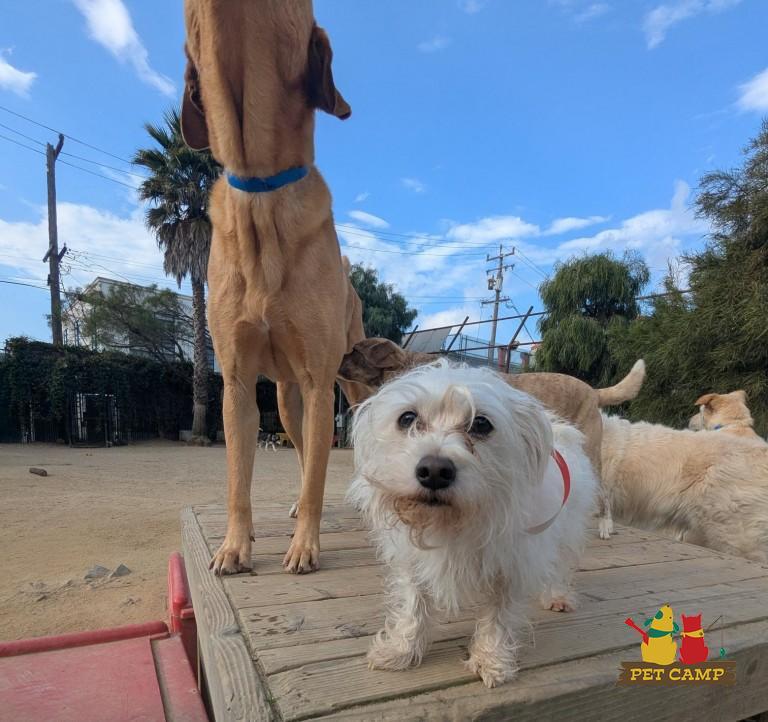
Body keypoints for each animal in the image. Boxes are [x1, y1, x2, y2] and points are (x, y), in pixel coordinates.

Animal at [182, 1, 365, 574]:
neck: (261, 183)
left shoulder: (319, 381)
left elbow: (319, 472)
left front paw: (305, 546)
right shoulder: (239, 384)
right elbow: (238, 480)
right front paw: (234, 546)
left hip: (347, 380)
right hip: (285, 397)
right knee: (306, 451)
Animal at [339, 337, 645, 539]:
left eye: (355, 350)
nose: (337, 357)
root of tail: (593, 391)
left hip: (591, 454)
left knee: (604, 492)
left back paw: (605, 525)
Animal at [348, 362, 598, 687]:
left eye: (481, 424)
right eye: (407, 418)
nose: (434, 471)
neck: (450, 523)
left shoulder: (509, 568)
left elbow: (497, 617)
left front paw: (491, 659)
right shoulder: (412, 562)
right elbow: (414, 607)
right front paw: (402, 649)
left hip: (567, 532)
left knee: (560, 566)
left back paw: (556, 595)